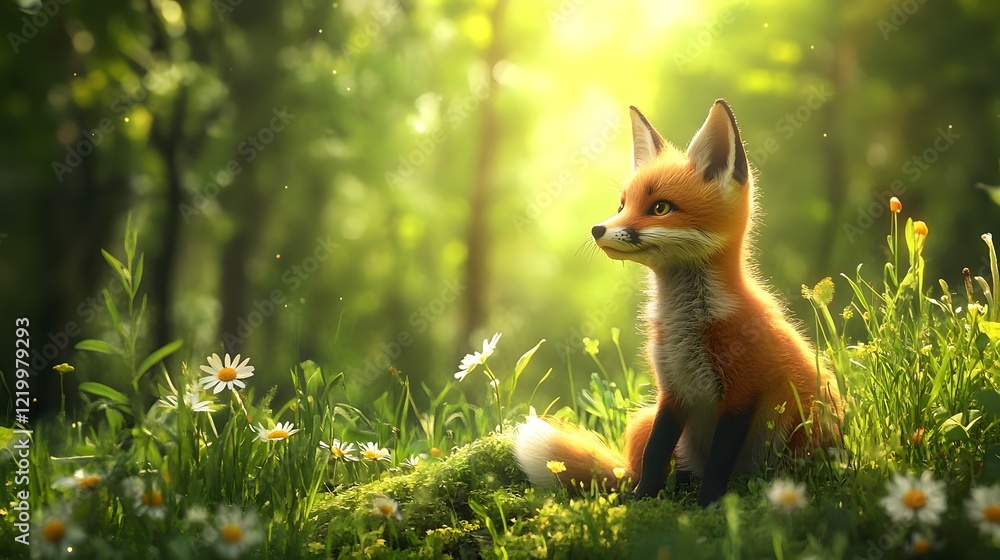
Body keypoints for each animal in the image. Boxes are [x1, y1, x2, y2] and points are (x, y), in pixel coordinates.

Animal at [514, 99, 843, 507]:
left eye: (660, 208)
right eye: (623, 205)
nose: (597, 229)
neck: (688, 325)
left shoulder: (741, 392)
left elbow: (718, 461)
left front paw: (708, 505)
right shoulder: (672, 392)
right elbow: (655, 454)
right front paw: (641, 499)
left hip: (807, 428)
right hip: (642, 421)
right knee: (643, 466)